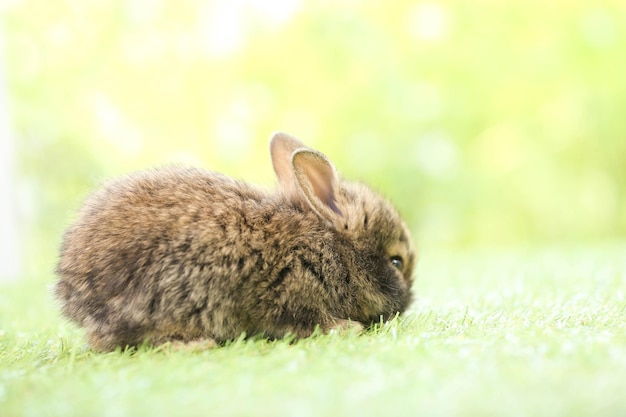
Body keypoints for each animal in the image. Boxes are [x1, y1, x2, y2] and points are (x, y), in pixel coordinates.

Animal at [54, 132, 414, 350]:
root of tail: (72, 297)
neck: (336, 251)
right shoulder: (294, 295)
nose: (407, 304)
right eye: (396, 262)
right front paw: (348, 329)